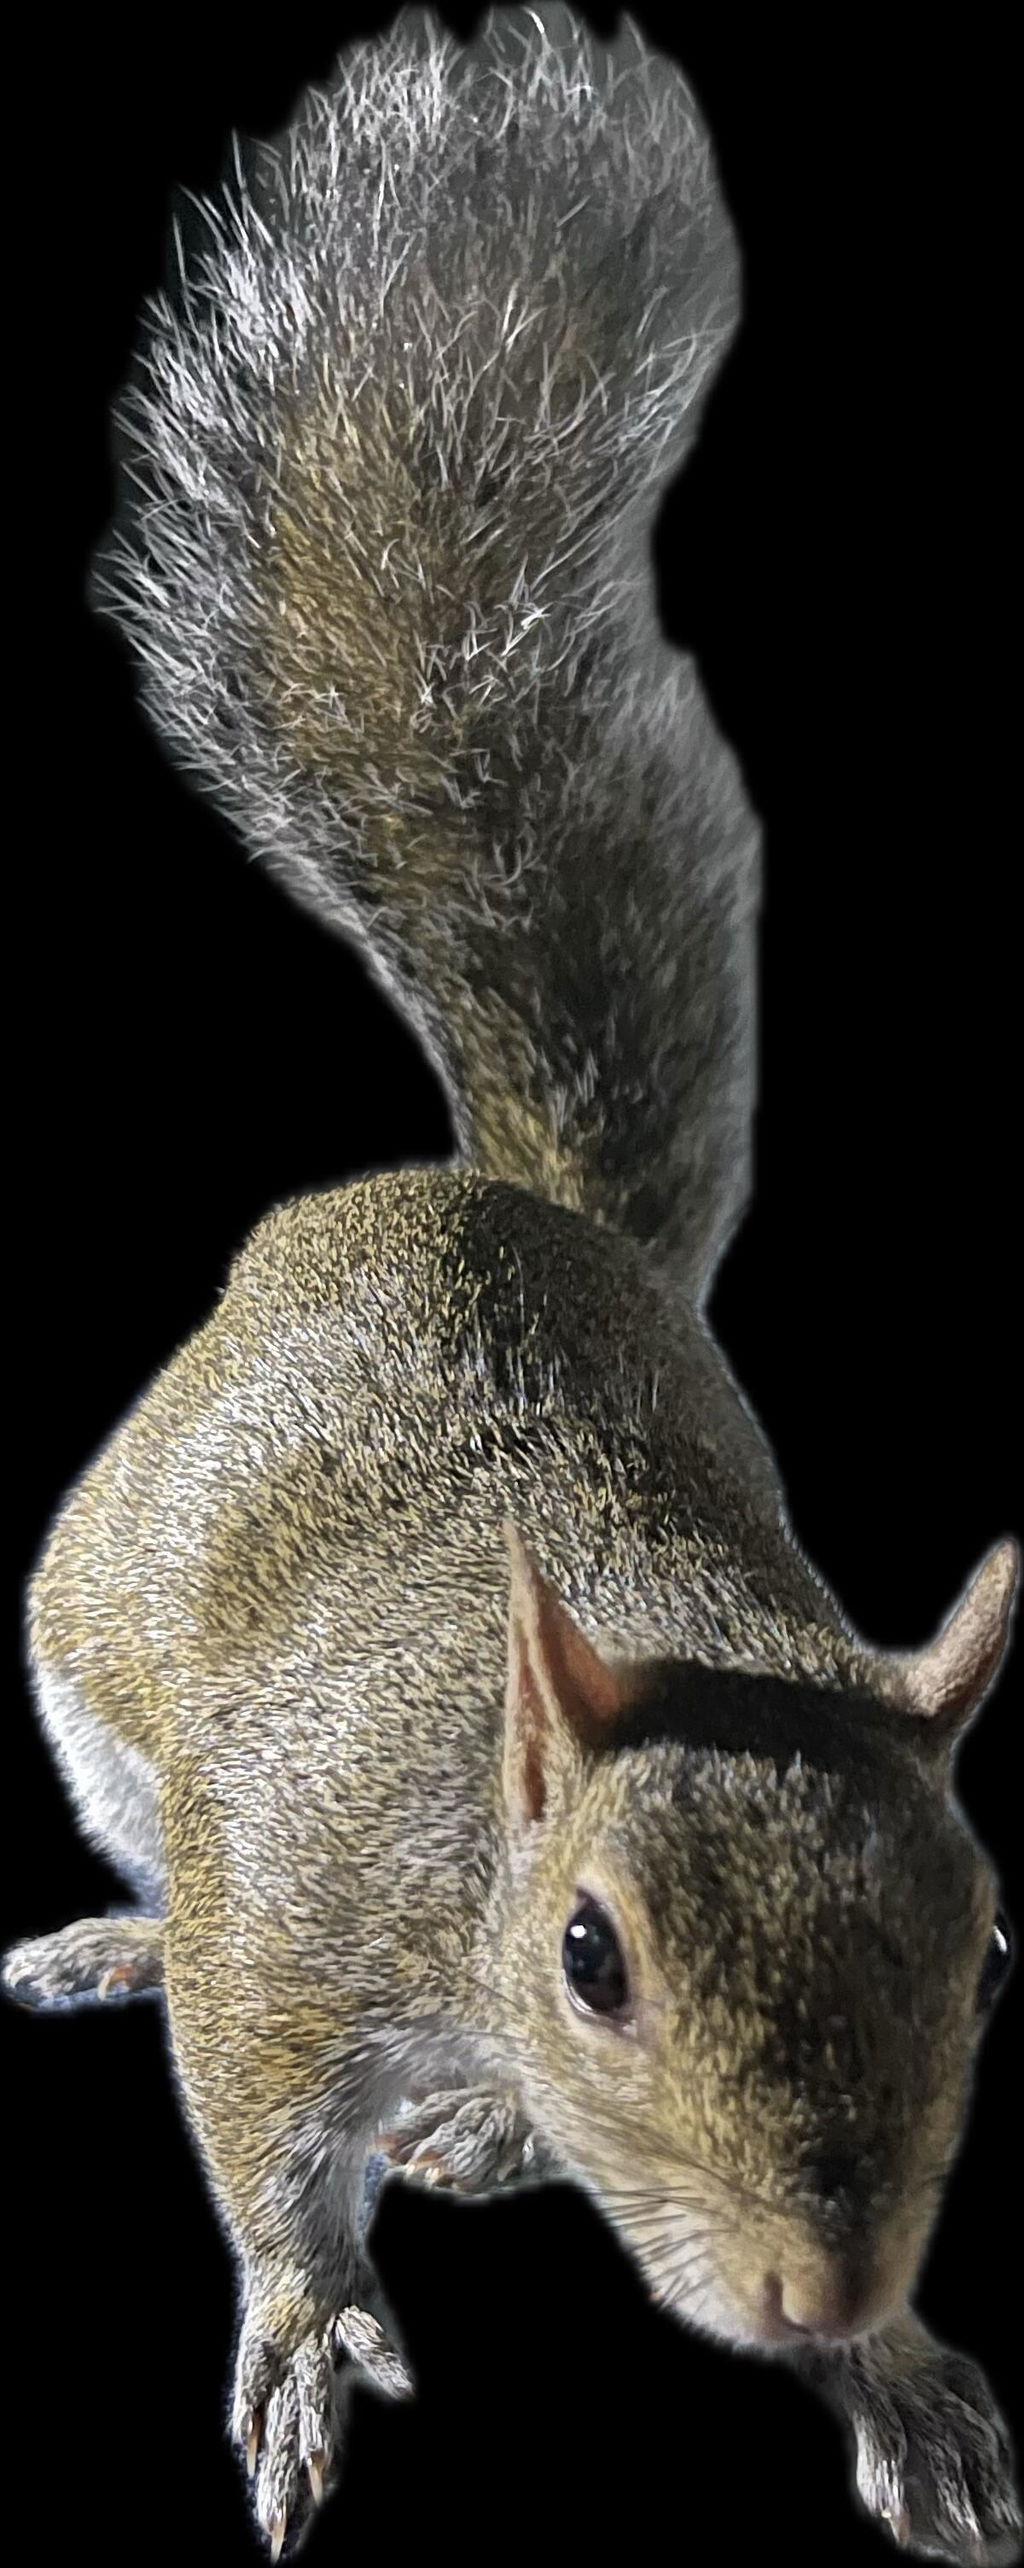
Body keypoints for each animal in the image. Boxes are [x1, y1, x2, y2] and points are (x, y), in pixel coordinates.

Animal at [3, 8, 1019, 2561]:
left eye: (993, 1944)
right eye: (592, 1954)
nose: (816, 2276)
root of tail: (498, 1203)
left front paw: (903, 2375)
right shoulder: (298, 1904)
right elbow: (256, 2113)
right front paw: (296, 2330)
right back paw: (121, 1940)